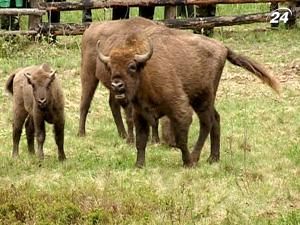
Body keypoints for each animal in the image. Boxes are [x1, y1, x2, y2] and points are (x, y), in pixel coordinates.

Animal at [96, 19, 282, 167]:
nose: (116, 84)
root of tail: (223, 47)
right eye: (110, 67)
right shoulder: (140, 114)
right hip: (204, 100)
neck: (146, 71)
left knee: (207, 123)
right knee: (216, 119)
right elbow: (141, 142)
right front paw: (139, 165)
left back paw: (195, 157)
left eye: (132, 66)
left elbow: (181, 139)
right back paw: (213, 158)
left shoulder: (180, 109)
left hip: (203, 99)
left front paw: (187, 162)